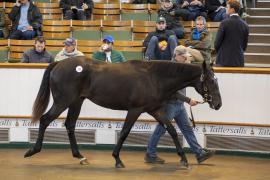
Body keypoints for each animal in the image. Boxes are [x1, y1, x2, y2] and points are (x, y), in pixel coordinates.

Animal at [24, 57, 221, 168]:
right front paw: (117, 159)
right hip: (63, 101)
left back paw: (80, 156)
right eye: (211, 81)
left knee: (70, 125)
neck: (154, 78)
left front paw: (184, 159)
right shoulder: (135, 110)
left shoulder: (155, 110)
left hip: (76, 102)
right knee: (45, 119)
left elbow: (172, 130)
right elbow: (125, 132)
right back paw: (32, 151)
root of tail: (59, 64)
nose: (218, 104)